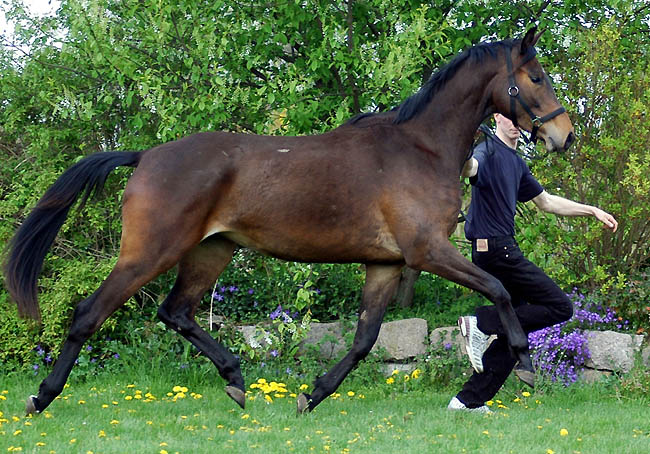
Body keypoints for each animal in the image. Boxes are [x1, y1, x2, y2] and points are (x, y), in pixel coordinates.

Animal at [5, 26, 572, 414]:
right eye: (536, 77)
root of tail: (146, 156)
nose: (563, 135)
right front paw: (524, 366)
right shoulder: (428, 250)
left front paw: (313, 394)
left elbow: (365, 339)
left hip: (211, 250)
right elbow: (499, 289)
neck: (419, 148)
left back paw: (235, 380)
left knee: (176, 312)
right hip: (150, 252)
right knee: (90, 314)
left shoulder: (385, 264)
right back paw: (41, 398)